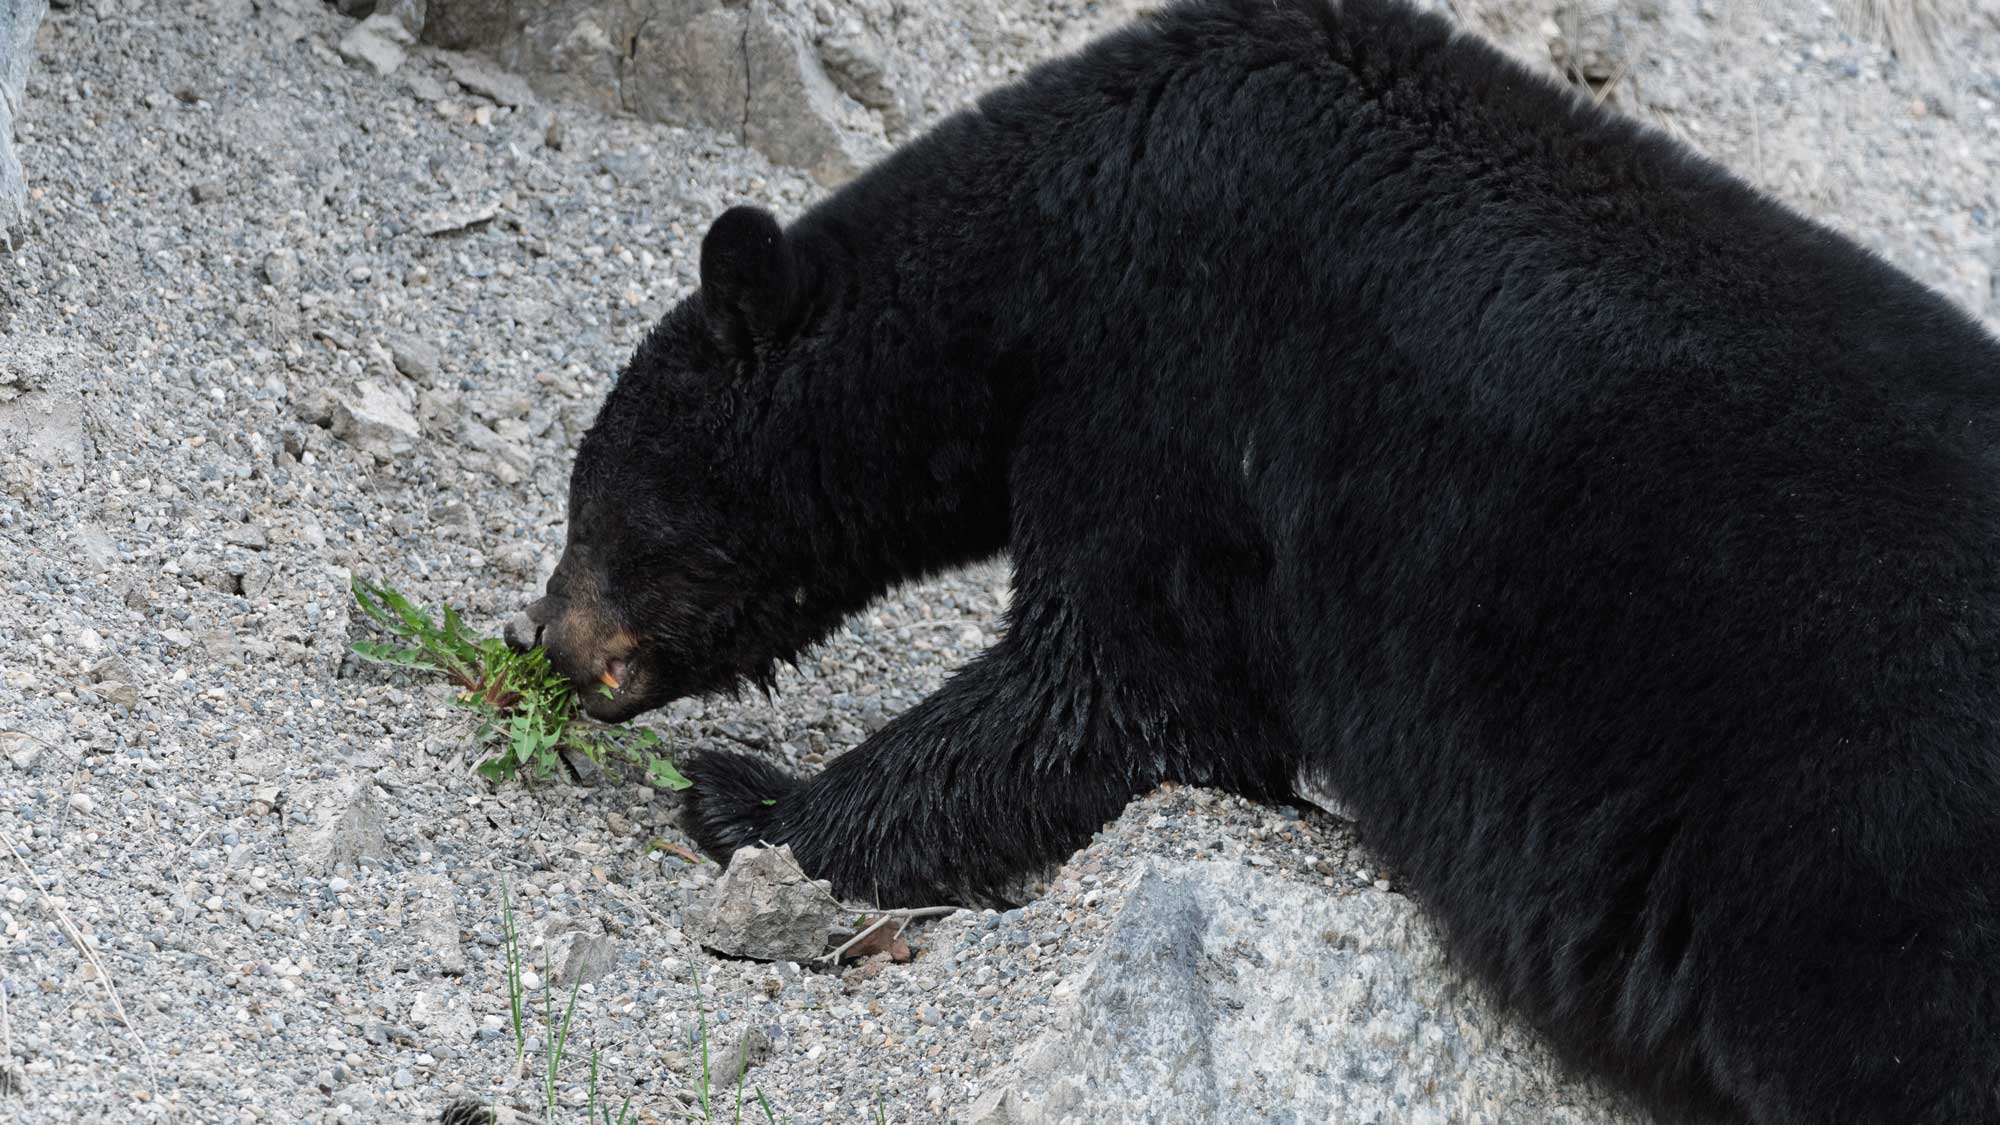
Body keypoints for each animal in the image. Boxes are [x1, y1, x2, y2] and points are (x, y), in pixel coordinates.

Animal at [510, 0, 2000, 1120]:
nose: (548, 646)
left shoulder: (1181, 373)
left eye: (611, 518)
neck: (1067, 214)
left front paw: (750, 802)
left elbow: (1106, 680)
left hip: (1858, 844)